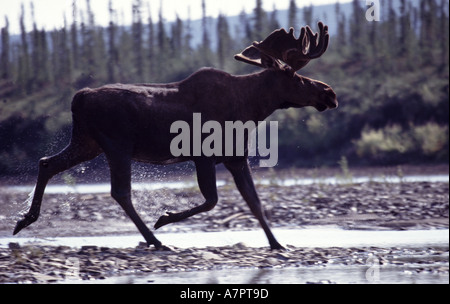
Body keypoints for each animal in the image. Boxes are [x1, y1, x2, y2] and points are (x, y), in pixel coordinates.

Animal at [13, 21, 338, 249]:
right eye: (294, 75)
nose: (329, 93)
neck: (251, 108)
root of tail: (78, 98)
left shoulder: (236, 157)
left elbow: (254, 202)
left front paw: (278, 243)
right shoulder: (204, 156)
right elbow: (212, 200)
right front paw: (165, 217)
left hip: (86, 143)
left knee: (46, 163)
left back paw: (26, 219)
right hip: (116, 146)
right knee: (120, 192)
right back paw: (155, 239)